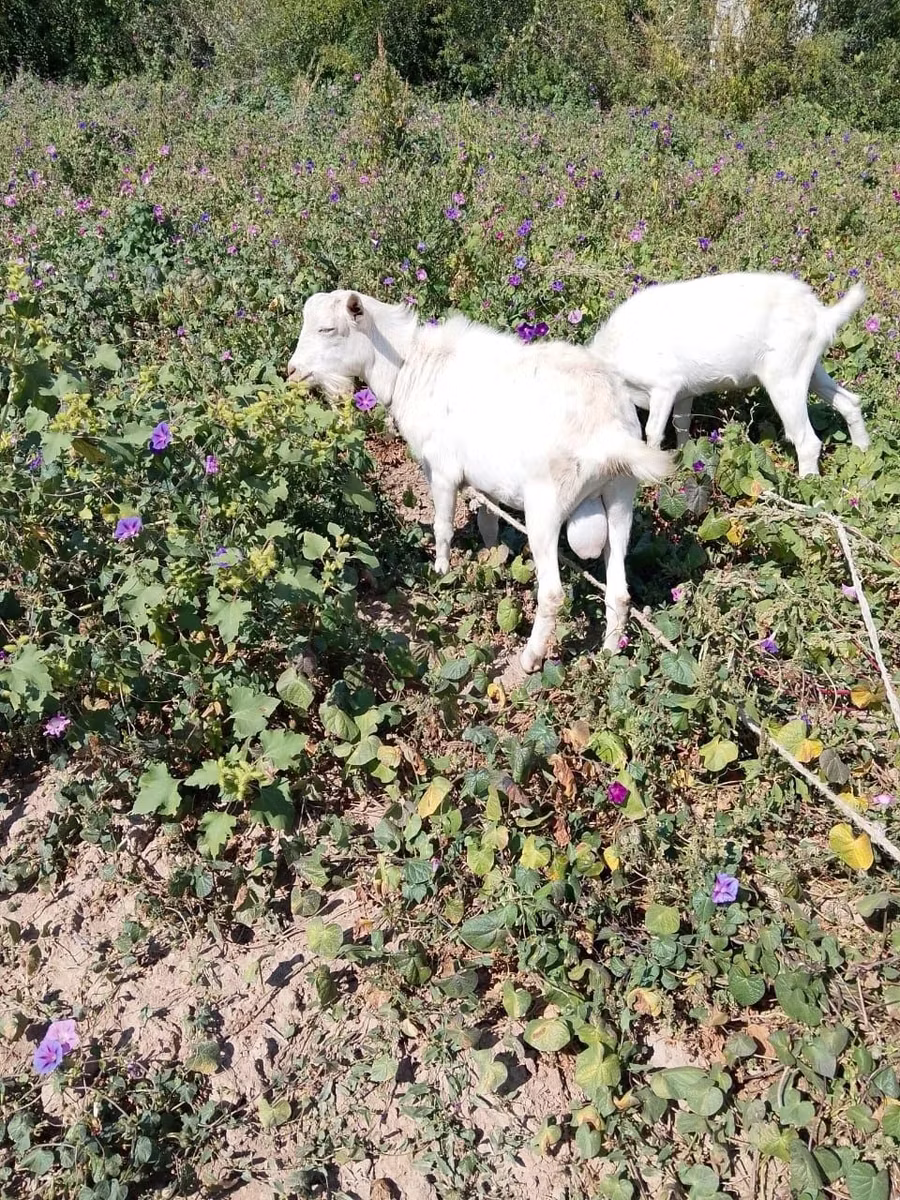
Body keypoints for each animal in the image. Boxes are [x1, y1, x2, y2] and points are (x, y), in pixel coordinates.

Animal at [287, 290, 672, 671]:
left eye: (327, 329)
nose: (292, 371)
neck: (412, 367)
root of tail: (609, 431)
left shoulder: (441, 469)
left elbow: (443, 526)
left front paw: (441, 572)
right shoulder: (487, 483)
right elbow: (488, 524)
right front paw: (491, 561)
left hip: (545, 506)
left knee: (552, 593)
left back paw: (530, 659)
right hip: (620, 496)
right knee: (619, 589)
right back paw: (610, 652)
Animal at [590, 272, 869, 476]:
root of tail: (822, 316)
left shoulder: (664, 386)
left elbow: (653, 432)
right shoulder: (683, 392)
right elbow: (681, 425)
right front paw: (684, 462)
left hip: (784, 377)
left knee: (806, 440)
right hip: (809, 369)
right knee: (850, 402)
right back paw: (863, 451)